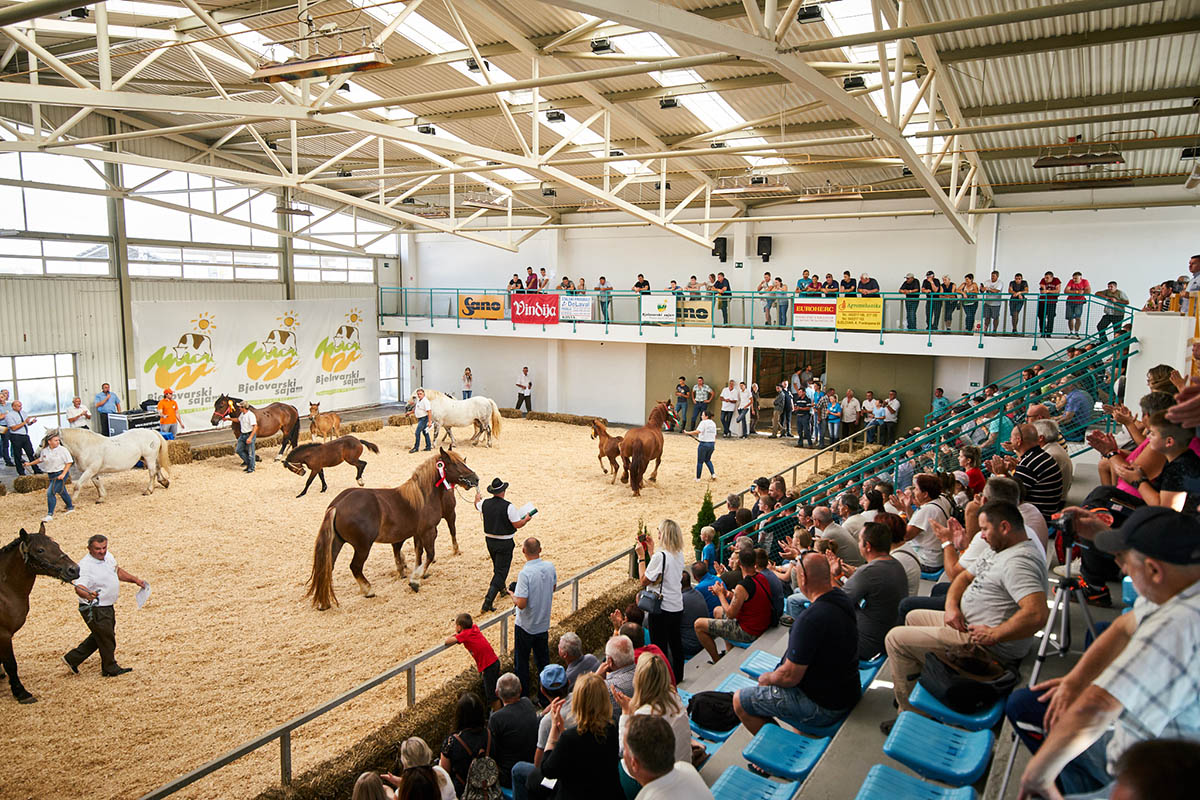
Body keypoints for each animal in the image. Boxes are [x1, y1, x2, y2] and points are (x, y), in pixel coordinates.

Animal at [1, 527, 79, 705]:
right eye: (40, 550)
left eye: (57, 545)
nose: (74, 569)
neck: (5, 590)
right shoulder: (4, 634)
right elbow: (11, 664)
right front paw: (21, 693)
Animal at [304, 448, 477, 609]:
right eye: (455, 464)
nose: (475, 479)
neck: (423, 496)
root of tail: (337, 505)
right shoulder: (428, 531)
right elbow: (429, 555)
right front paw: (415, 580)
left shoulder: (418, 533)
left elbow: (419, 553)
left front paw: (417, 573)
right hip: (362, 547)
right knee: (355, 567)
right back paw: (368, 590)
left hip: (337, 543)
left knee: (327, 568)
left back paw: (324, 602)